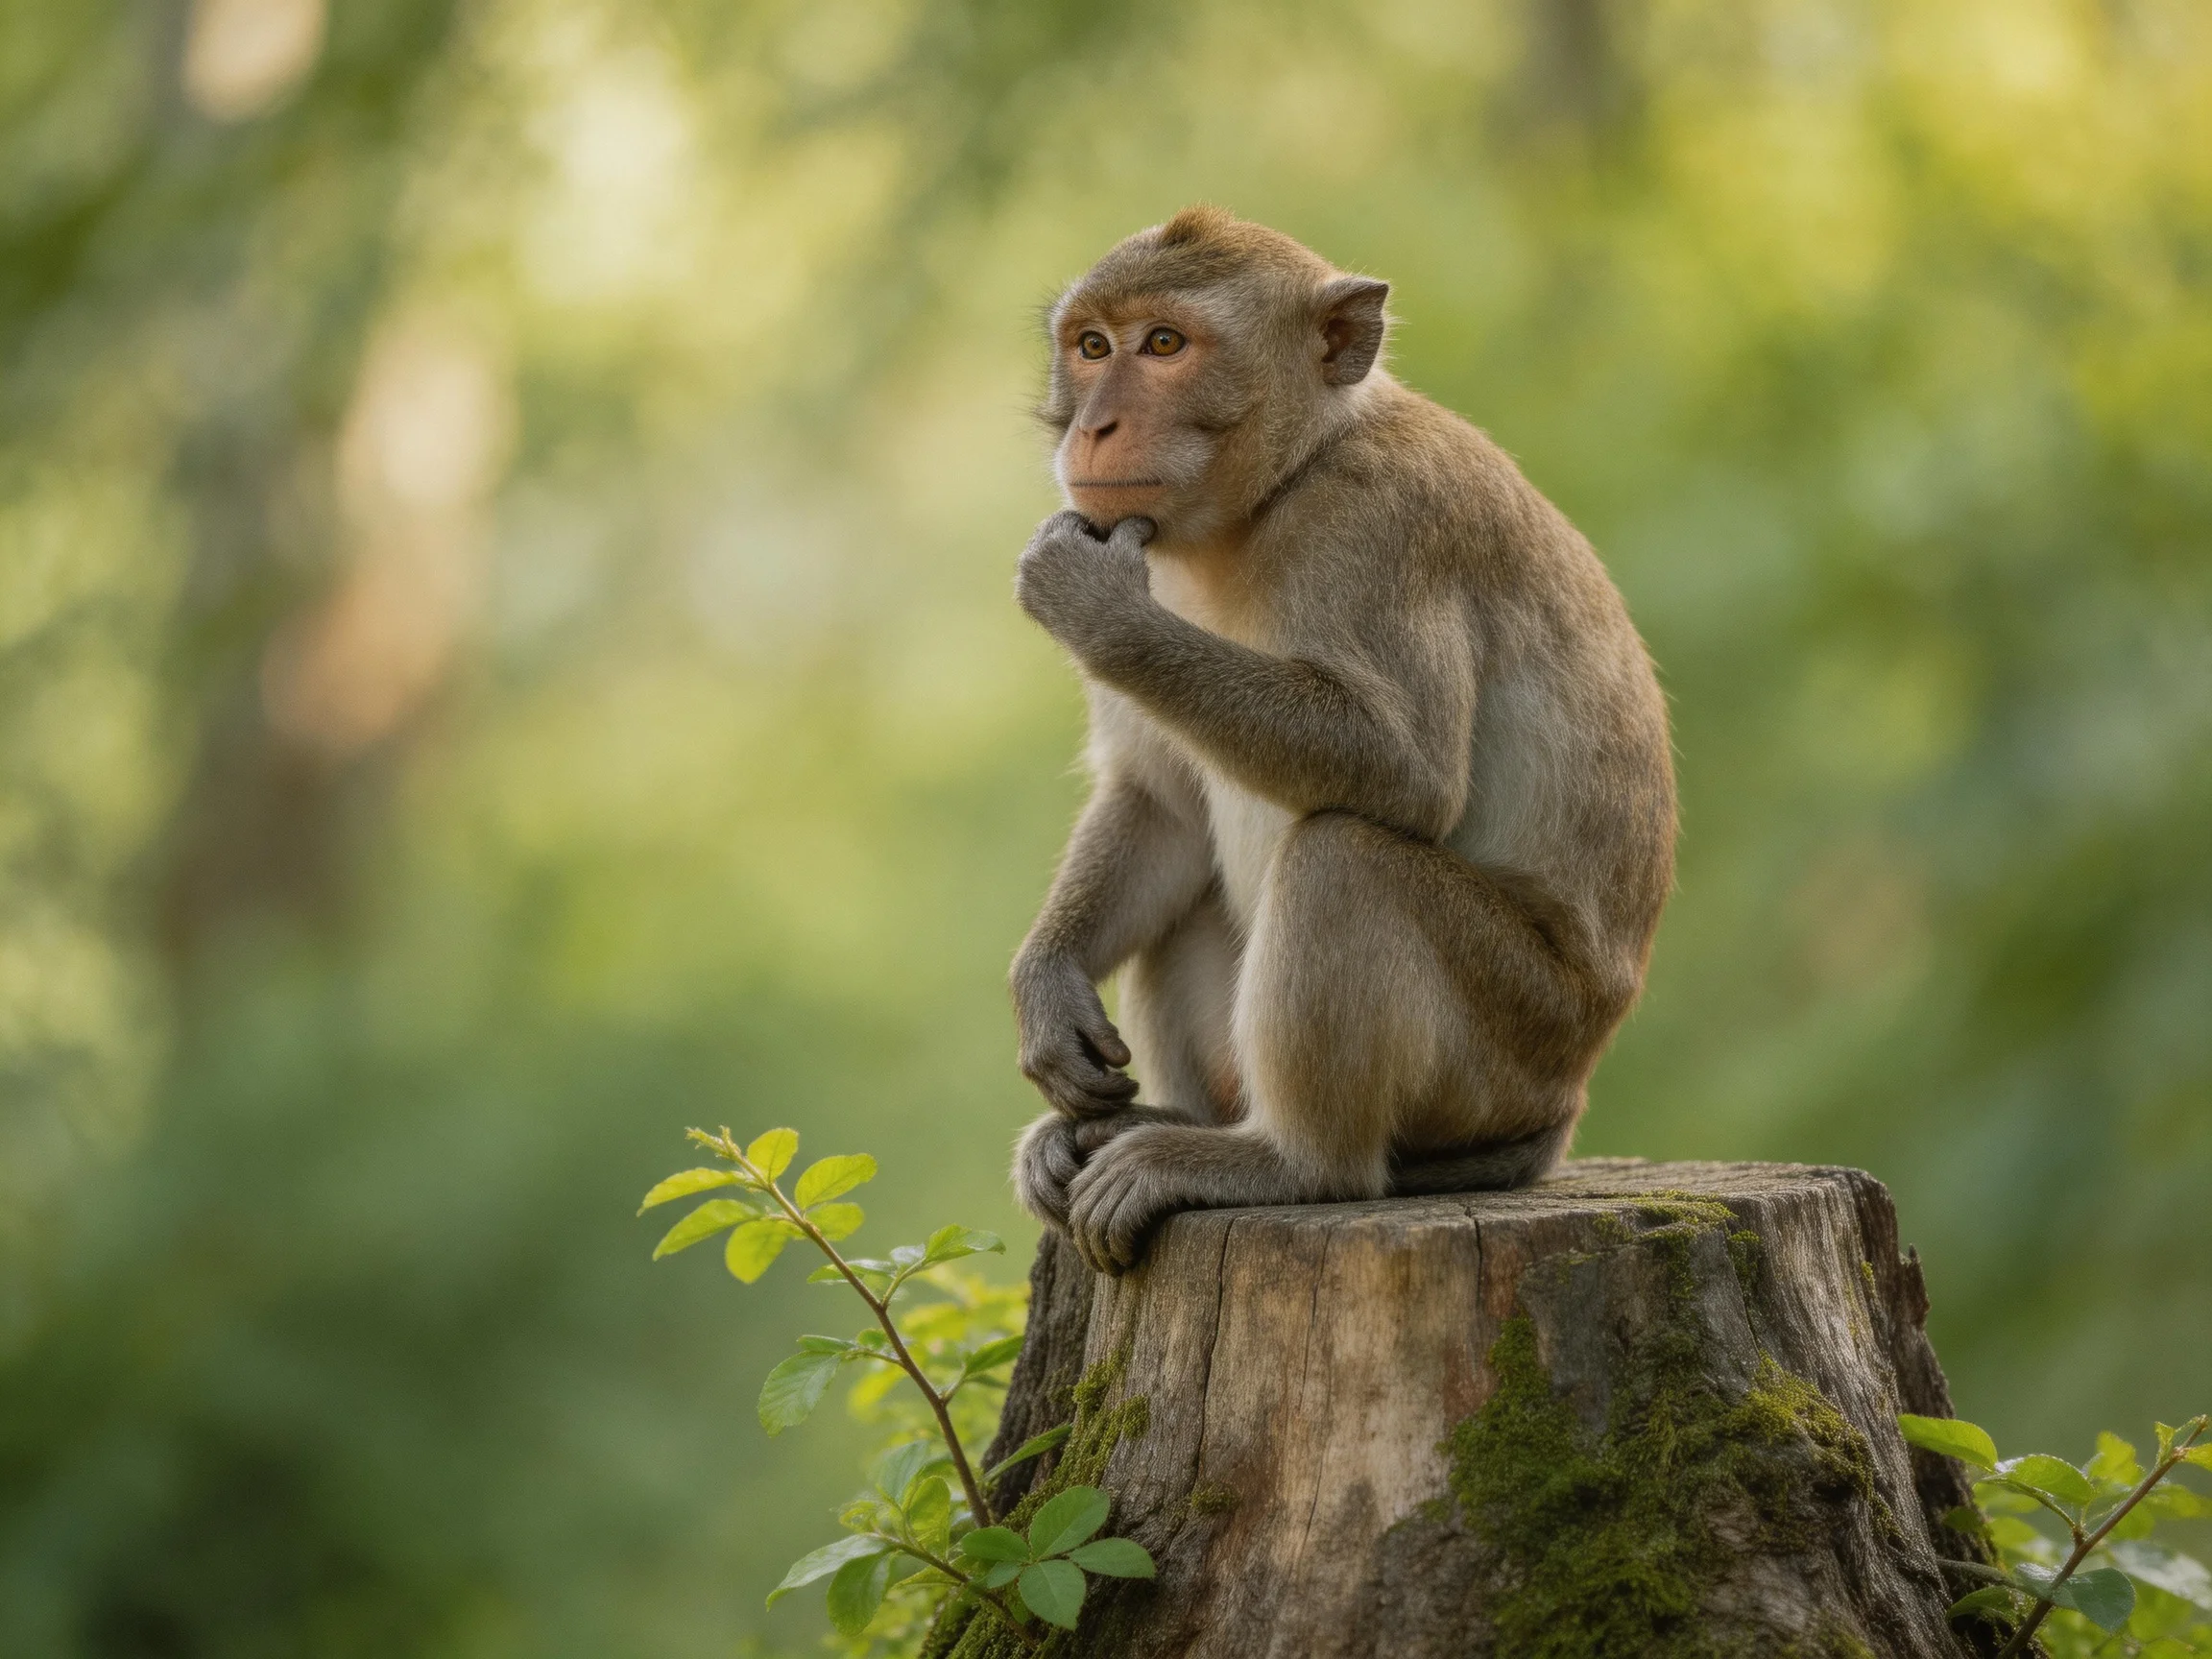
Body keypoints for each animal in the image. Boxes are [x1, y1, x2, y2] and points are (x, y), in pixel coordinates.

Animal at [1007, 206, 1675, 1274]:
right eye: (1094, 347)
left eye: (1166, 345)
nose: (1092, 426)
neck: (1283, 484)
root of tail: (1562, 1106)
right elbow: (1159, 803)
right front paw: (1050, 987)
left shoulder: (1377, 522)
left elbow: (1405, 772)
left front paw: (1093, 610)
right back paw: (1141, 1126)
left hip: (1508, 1042)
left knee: (1345, 857)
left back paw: (1285, 1162)